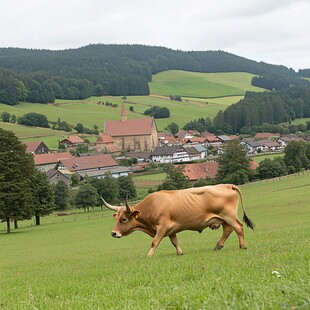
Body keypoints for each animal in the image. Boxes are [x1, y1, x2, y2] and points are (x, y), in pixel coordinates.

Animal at [101, 184, 254, 256]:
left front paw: (149, 255)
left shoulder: (162, 227)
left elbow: (154, 242)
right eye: (117, 218)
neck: (151, 206)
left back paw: (243, 246)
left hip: (229, 216)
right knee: (228, 230)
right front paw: (180, 253)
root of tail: (226, 185)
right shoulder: (170, 230)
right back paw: (218, 245)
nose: (114, 233)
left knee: (238, 227)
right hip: (223, 219)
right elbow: (175, 242)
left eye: (124, 219)